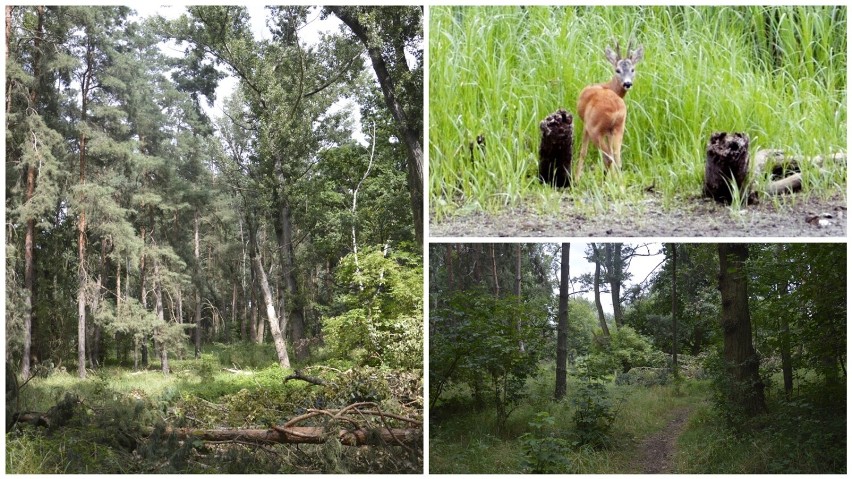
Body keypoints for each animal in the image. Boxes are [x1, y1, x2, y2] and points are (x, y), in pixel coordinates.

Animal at [576, 39, 644, 181]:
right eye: (617, 70)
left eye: (632, 69)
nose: (627, 83)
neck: (607, 86)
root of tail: (616, 110)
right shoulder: (610, 131)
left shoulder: (586, 124)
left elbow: (583, 151)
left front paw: (576, 179)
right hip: (619, 127)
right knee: (617, 157)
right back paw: (618, 181)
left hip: (595, 128)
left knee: (607, 157)